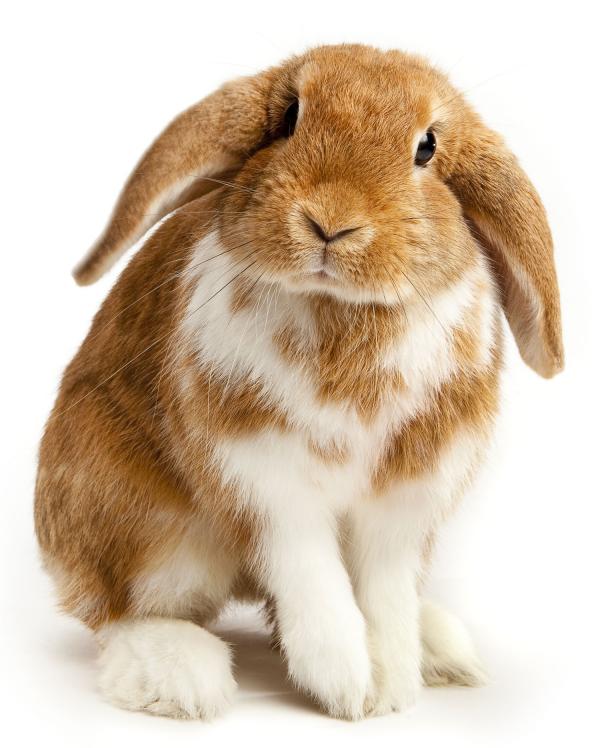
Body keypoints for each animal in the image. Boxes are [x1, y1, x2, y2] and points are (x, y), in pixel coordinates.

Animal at [34, 44, 563, 721]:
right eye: (289, 118)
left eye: (427, 147)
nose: (331, 222)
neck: (339, 308)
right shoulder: (268, 483)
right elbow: (314, 579)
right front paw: (347, 684)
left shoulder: (405, 500)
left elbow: (384, 594)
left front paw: (390, 685)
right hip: (144, 523)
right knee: (120, 611)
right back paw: (179, 675)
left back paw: (439, 649)